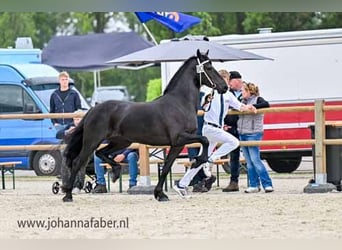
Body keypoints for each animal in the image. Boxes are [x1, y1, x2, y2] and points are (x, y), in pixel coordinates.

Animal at [62, 49, 227, 202]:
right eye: (209, 67)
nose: (224, 87)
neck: (179, 103)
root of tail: (92, 109)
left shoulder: (177, 145)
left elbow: (166, 167)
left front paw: (160, 194)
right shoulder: (180, 138)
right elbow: (205, 140)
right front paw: (199, 162)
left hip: (121, 142)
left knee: (101, 153)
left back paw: (115, 171)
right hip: (92, 141)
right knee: (78, 162)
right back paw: (68, 194)